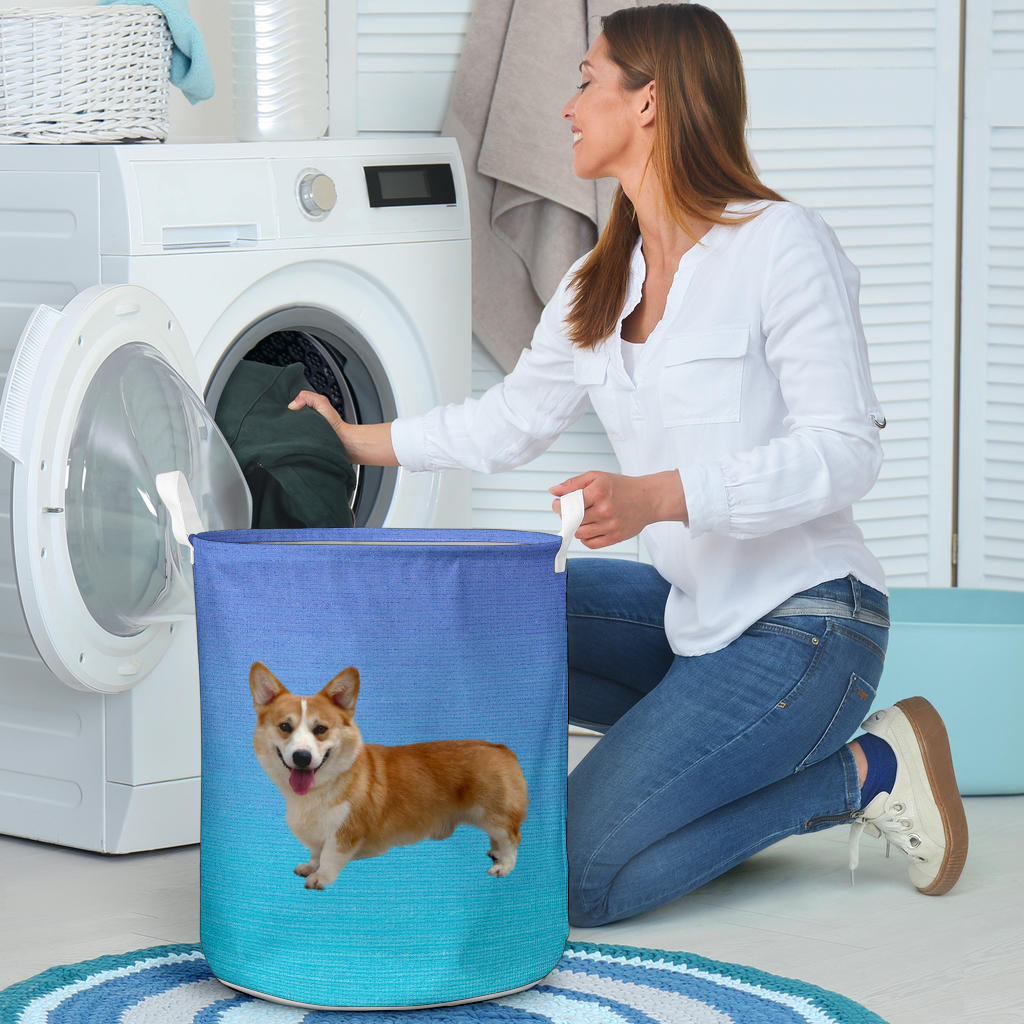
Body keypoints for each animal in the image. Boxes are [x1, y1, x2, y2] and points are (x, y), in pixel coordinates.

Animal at [246, 663, 528, 888]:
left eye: (321, 729)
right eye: (285, 726)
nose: (302, 757)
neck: (322, 787)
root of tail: (503, 748)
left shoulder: (344, 833)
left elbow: (328, 857)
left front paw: (320, 879)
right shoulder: (318, 834)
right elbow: (316, 852)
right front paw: (309, 866)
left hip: (493, 815)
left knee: (512, 839)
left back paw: (503, 866)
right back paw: (495, 854)